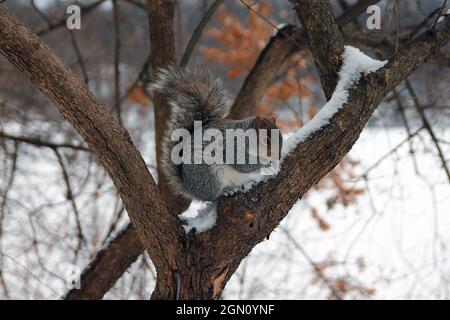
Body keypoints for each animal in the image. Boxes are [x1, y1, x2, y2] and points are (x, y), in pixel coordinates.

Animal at [149, 67, 284, 201]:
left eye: (281, 138)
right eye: (266, 140)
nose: (277, 157)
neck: (246, 137)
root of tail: (191, 189)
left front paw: (274, 165)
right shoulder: (232, 147)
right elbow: (242, 164)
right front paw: (265, 163)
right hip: (211, 174)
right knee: (212, 196)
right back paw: (226, 191)